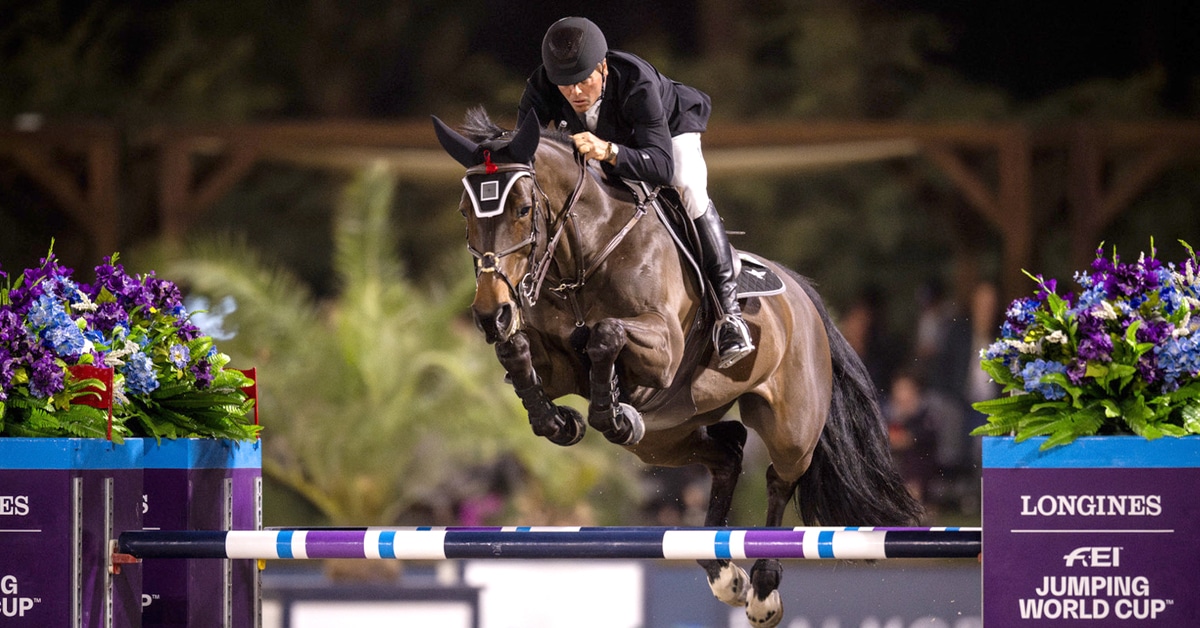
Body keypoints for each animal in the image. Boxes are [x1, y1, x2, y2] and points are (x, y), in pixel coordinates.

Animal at [432, 108, 921, 628]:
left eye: (523, 209)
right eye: (465, 212)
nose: (491, 315)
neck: (583, 254)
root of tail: (803, 296)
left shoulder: (663, 350)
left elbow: (604, 335)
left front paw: (610, 410)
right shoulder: (558, 365)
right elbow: (520, 354)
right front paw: (560, 421)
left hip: (790, 425)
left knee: (778, 477)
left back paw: (763, 589)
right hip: (665, 438)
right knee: (728, 451)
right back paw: (724, 573)